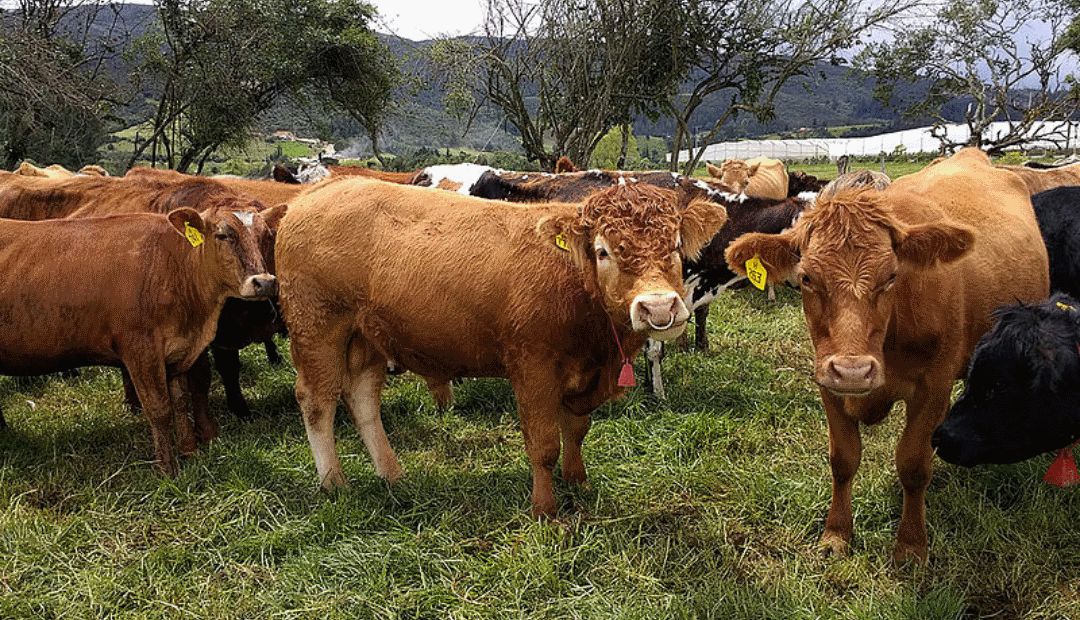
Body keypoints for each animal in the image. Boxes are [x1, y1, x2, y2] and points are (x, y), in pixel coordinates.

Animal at [0, 209, 276, 475]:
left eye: (265, 236)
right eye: (222, 235)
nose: (264, 282)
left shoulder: (177, 351)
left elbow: (179, 402)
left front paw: (190, 452)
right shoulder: (140, 349)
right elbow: (159, 409)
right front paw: (168, 469)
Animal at [278, 181, 725, 520]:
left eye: (675, 246)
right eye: (603, 251)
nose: (658, 307)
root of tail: (321, 189)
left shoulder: (582, 371)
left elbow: (576, 430)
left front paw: (577, 481)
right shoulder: (533, 367)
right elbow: (543, 444)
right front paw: (545, 508)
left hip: (366, 338)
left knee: (362, 400)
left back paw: (392, 475)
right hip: (318, 329)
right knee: (316, 400)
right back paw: (334, 482)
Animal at [721, 147, 1049, 565]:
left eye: (892, 276)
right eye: (807, 277)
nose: (853, 371)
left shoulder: (932, 388)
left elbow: (913, 464)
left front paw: (910, 545)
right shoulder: (828, 384)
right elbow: (843, 460)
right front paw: (836, 534)